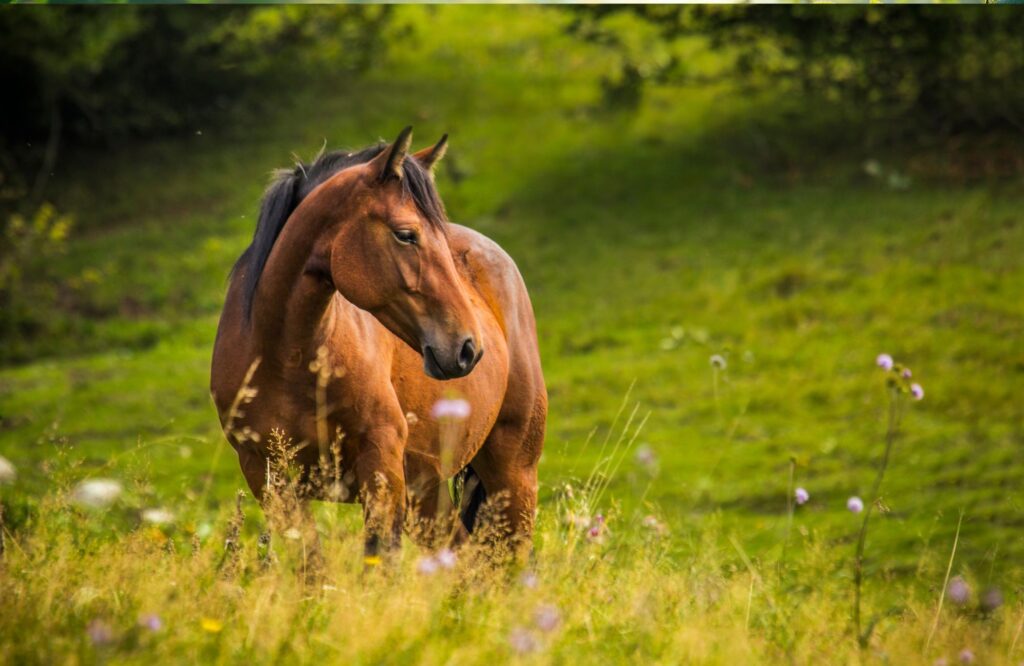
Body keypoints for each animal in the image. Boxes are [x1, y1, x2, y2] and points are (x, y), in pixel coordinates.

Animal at [210, 127, 546, 565]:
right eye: (406, 235)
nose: (467, 347)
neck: (288, 359)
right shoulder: (268, 478)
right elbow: (311, 567)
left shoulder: (382, 466)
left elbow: (379, 561)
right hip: (429, 490)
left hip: (513, 475)